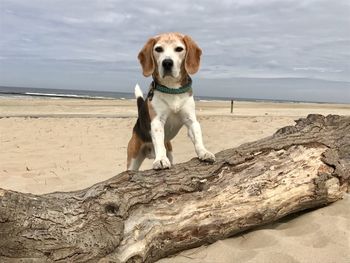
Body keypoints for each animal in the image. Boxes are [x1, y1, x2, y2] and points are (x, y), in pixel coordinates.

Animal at [128, 32, 216, 171]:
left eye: (179, 49)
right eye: (158, 49)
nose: (167, 62)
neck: (172, 89)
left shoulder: (191, 120)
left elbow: (197, 137)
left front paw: (204, 152)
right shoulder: (157, 121)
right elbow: (159, 142)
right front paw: (161, 159)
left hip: (170, 151)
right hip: (133, 158)